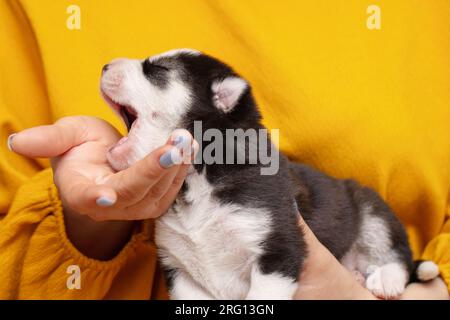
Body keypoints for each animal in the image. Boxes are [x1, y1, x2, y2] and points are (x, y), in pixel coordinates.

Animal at [100, 48, 438, 298]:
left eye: (158, 70)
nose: (104, 65)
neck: (197, 178)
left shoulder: (278, 251)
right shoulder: (182, 270)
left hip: (371, 210)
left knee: (398, 254)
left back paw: (387, 278)